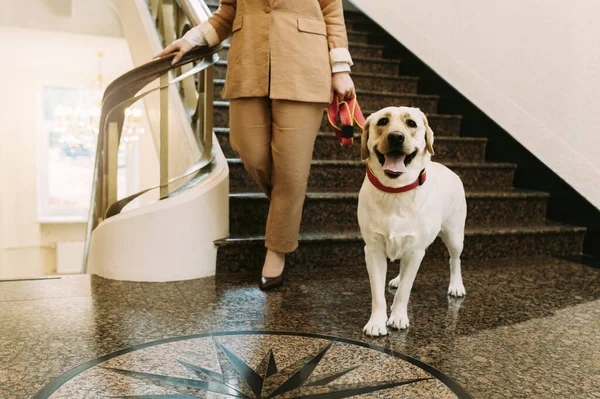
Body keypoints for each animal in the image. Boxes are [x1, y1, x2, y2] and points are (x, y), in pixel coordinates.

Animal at [356, 107, 468, 338]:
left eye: (411, 123)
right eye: (382, 121)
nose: (396, 137)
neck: (395, 191)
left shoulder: (416, 251)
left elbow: (404, 292)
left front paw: (398, 317)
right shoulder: (373, 250)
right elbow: (378, 294)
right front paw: (377, 322)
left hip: (454, 235)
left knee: (455, 260)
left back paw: (456, 285)